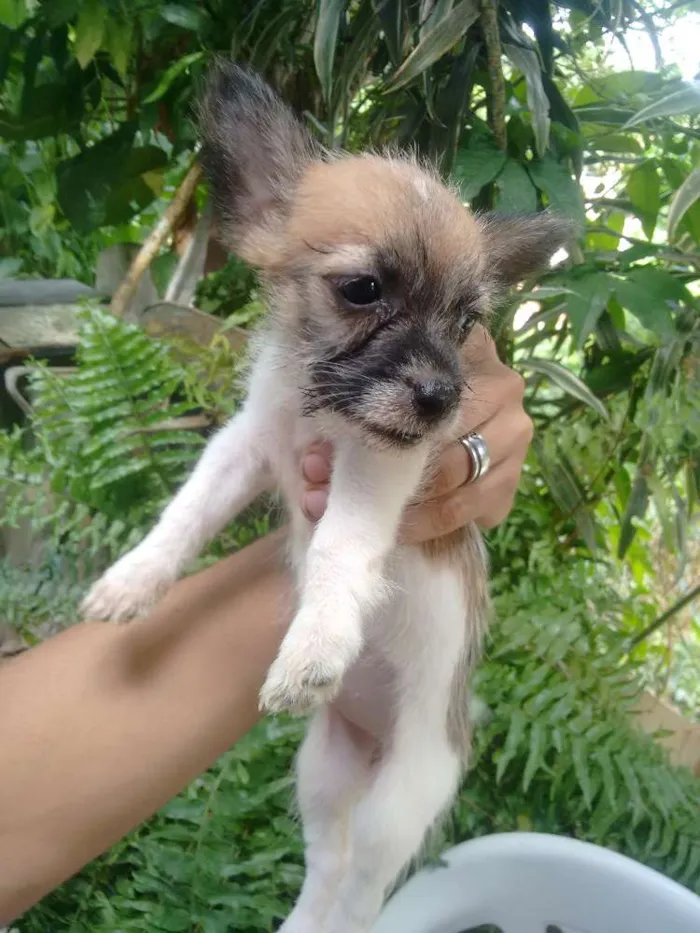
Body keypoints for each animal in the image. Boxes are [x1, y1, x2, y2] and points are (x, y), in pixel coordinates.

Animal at [83, 63, 576, 932]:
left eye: (466, 320)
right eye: (362, 289)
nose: (441, 397)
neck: (318, 406)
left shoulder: (375, 464)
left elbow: (341, 545)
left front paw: (314, 645)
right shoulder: (246, 444)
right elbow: (186, 511)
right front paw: (133, 581)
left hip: (399, 804)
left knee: (363, 887)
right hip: (321, 776)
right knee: (325, 868)